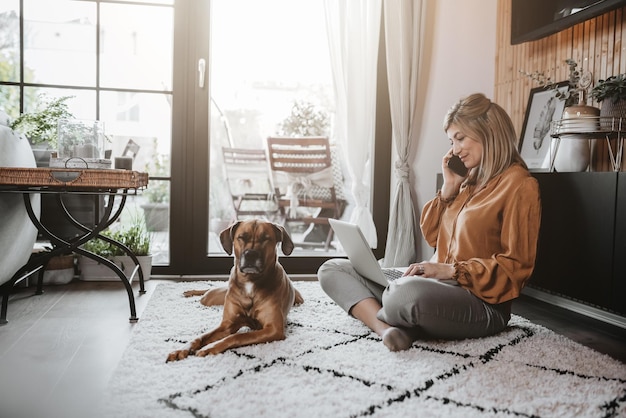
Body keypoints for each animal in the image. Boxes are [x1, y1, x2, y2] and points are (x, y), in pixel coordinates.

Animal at [166, 220, 302, 360]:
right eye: (241, 237)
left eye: (265, 238)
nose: (250, 254)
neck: (250, 282)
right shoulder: (227, 325)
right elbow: (200, 337)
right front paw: (182, 349)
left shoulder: (274, 329)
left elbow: (237, 336)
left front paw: (210, 347)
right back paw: (191, 292)